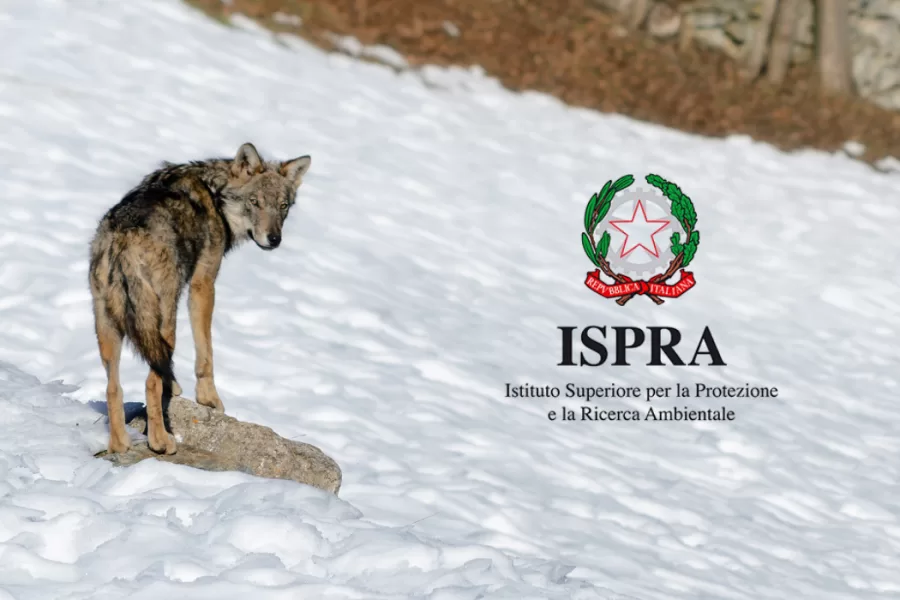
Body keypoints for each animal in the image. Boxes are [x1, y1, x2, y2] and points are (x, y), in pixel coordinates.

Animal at [88, 142, 311, 455]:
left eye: (283, 206)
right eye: (254, 202)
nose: (274, 239)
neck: (216, 194)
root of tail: (123, 240)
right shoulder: (203, 284)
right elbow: (205, 352)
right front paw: (209, 399)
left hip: (108, 327)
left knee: (113, 388)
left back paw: (121, 445)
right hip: (165, 321)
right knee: (150, 381)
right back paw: (161, 441)